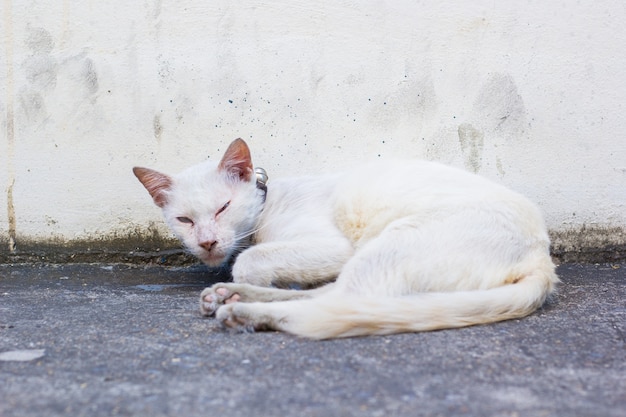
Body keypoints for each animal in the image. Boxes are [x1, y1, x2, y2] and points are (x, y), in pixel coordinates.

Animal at [133, 138, 556, 336]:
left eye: (222, 208)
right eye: (184, 220)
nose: (206, 242)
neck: (267, 208)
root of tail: (542, 257)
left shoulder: (334, 247)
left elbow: (249, 259)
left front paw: (248, 276)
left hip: (389, 243)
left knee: (339, 302)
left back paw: (243, 310)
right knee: (334, 297)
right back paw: (232, 297)